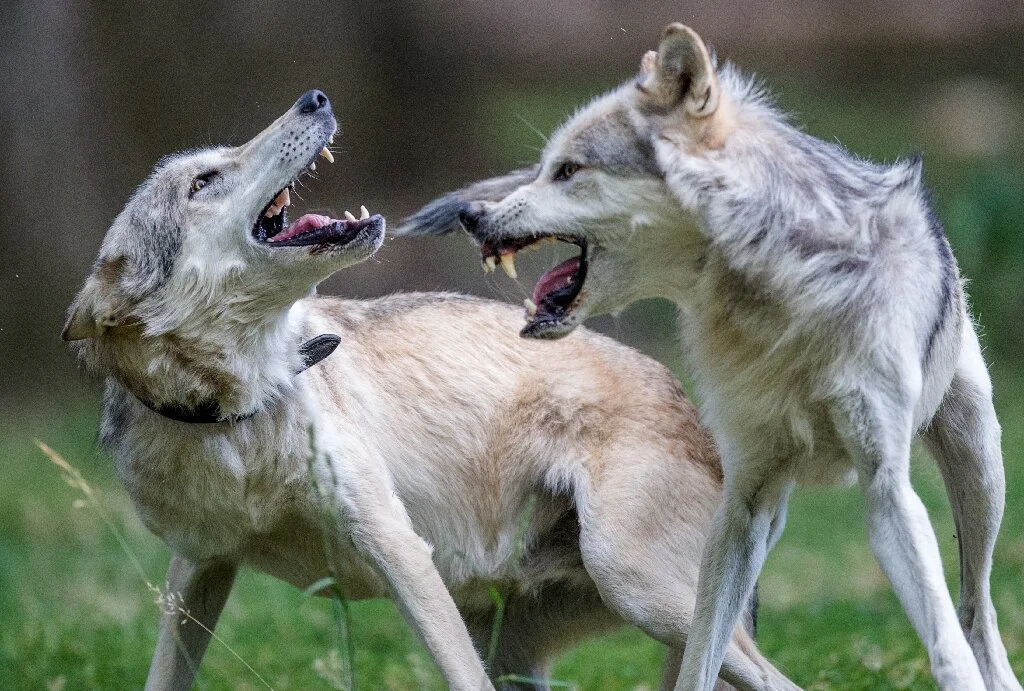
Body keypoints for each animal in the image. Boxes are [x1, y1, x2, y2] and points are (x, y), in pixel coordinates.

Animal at [62, 89, 798, 690]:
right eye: (204, 180)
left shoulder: (400, 551)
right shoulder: (197, 571)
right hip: (524, 649)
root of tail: (687, 403)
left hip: (638, 587)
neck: (237, 413)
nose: (315, 97)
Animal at [398, 25, 1020, 691]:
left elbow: (945, 643)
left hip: (981, 468)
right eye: (543, 168)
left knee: (975, 606)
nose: (472, 215)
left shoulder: (886, 488)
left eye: (568, 170)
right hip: (764, 521)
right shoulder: (743, 501)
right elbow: (701, 655)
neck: (774, 304)